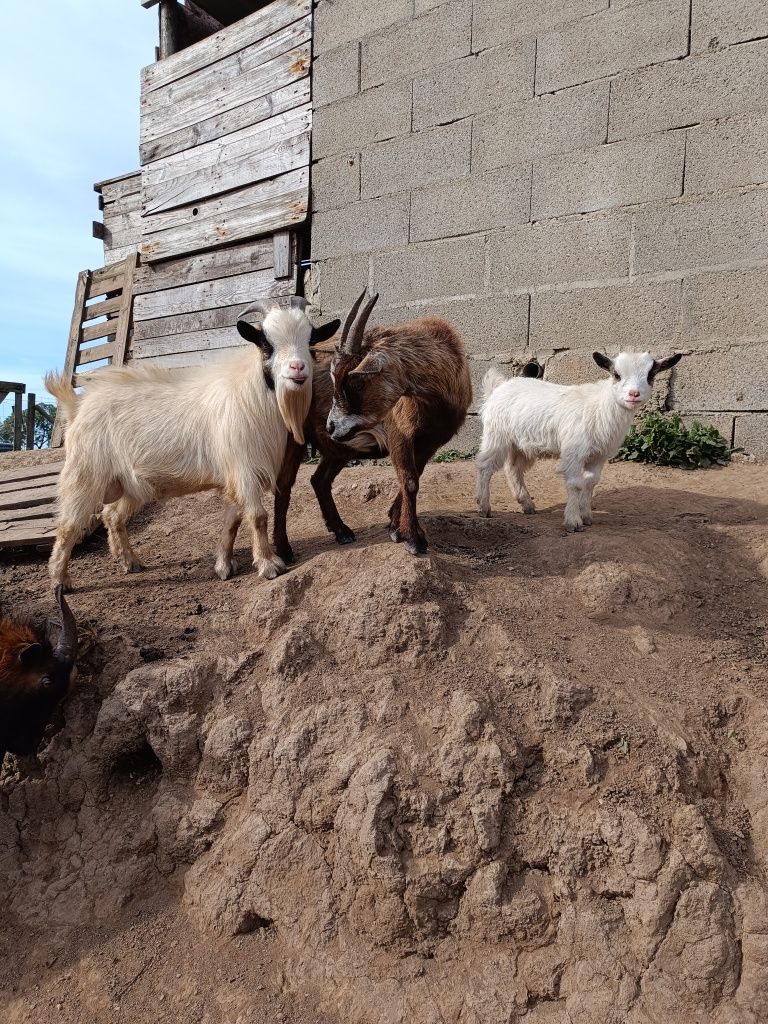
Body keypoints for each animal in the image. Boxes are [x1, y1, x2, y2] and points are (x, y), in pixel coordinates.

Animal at [45, 296, 339, 589]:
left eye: (310, 340)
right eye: (266, 343)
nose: (298, 368)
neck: (252, 394)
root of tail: (77, 407)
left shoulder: (233, 474)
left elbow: (232, 519)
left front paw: (224, 565)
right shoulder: (244, 469)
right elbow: (257, 516)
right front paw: (269, 565)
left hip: (131, 484)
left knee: (112, 515)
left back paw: (129, 561)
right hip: (85, 475)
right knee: (68, 525)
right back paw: (60, 580)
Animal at [211, 292, 475, 573]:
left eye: (355, 381)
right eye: (335, 378)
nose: (331, 426)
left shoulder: (430, 442)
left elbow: (414, 478)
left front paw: (396, 526)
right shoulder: (400, 433)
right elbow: (409, 480)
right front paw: (412, 539)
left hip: (338, 448)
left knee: (319, 480)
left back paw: (341, 531)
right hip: (295, 438)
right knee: (284, 486)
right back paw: (284, 549)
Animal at [479, 352, 684, 532]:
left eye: (651, 374)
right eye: (616, 374)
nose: (634, 394)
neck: (601, 407)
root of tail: (498, 387)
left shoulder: (599, 456)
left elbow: (590, 482)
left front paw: (586, 516)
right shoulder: (574, 454)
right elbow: (576, 484)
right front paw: (573, 521)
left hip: (521, 445)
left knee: (513, 469)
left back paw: (527, 504)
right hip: (496, 435)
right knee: (485, 466)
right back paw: (483, 507)